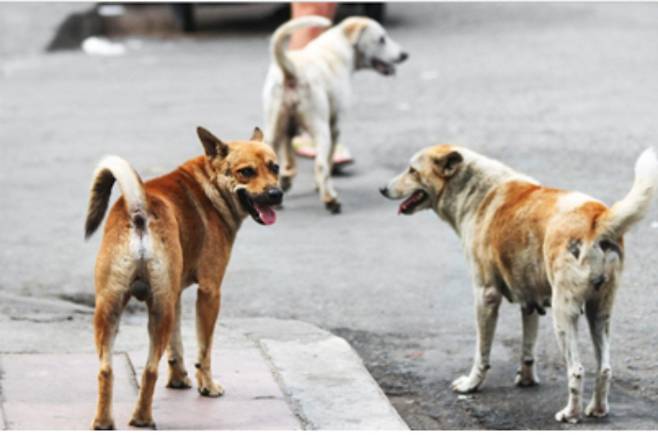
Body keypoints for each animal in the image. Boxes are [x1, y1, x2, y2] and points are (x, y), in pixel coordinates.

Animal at [84, 125, 280, 430]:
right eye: (246, 172)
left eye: (275, 167)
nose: (276, 194)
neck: (209, 186)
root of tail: (138, 210)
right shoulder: (210, 292)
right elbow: (204, 350)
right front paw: (207, 386)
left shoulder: (174, 295)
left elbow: (176, 347)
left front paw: (179, 380)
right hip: (157, 311)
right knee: (149, 370)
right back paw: (142, 418)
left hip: (111, 308)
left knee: (106, 370)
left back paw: (104, 421)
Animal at [262, 16, 404, 214]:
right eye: (381, 39)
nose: (404, 55)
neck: (338, 46)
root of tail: (291, 71)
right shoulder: (334, 125)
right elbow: (327, 161)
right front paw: (318, 186)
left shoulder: (288, 130)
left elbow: (288, 158)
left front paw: (286, 179)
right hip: (320, 129)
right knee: (321, 165)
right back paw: (330, 199)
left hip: (272, 129)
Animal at [380, 145, 656, 424]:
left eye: (412, 170)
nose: (382, 189)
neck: (476, 191)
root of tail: (598, 216)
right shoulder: (529, 300)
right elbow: (527, 348)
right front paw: (526, 380)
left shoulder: (485, 296)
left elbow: (481, 352)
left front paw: (472, 385)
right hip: (599, 313)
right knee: (604, 368)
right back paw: (597, 409)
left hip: (563, 315)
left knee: (577, 369)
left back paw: (571, 413)